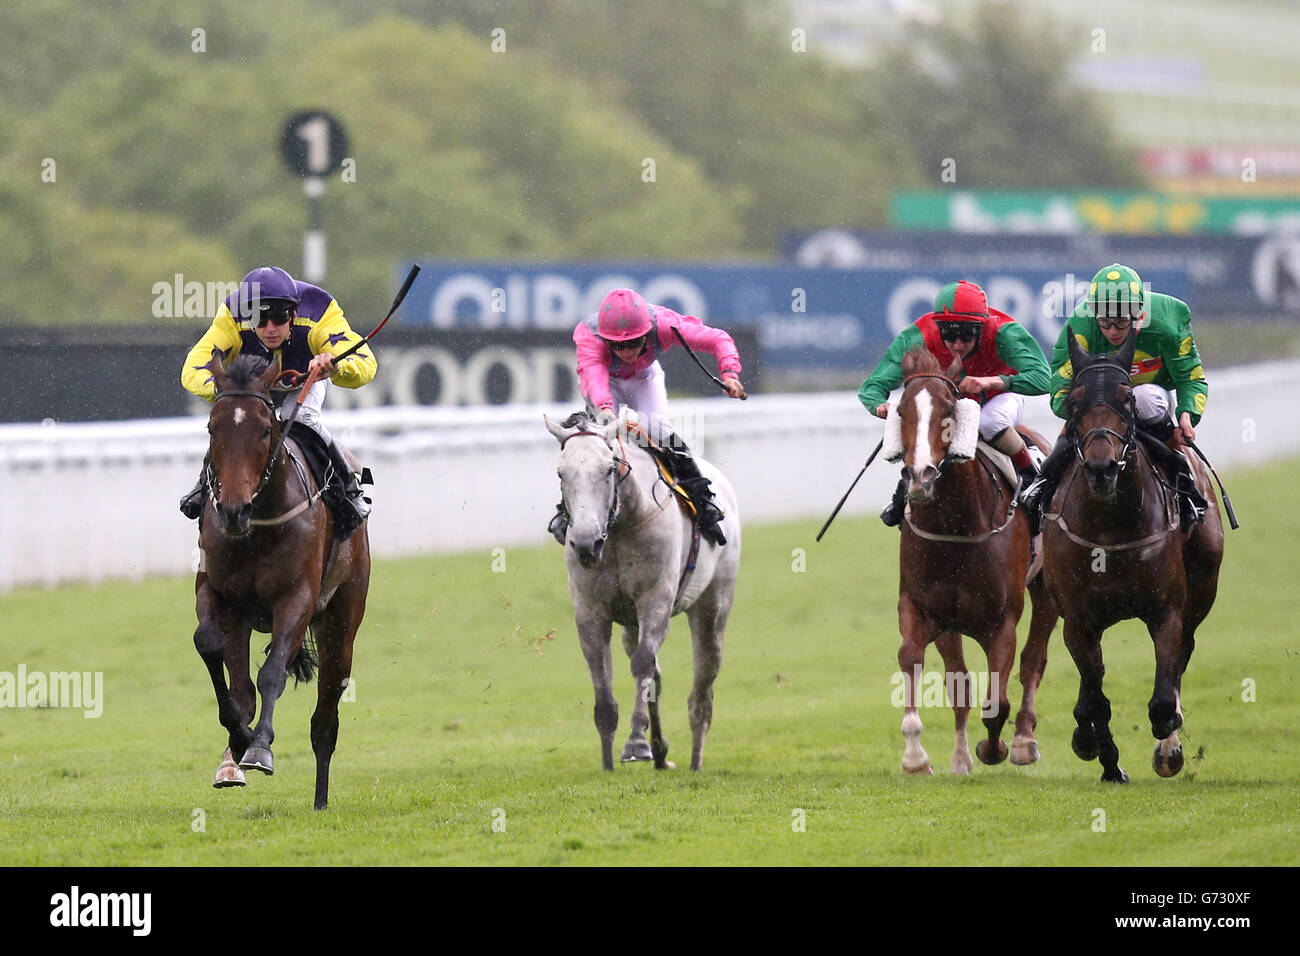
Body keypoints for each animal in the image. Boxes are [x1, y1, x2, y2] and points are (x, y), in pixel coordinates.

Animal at [189, 351, 371, 806]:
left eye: (265, 429)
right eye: (212, 427)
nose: (233, 509)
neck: (259, 525)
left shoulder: (297, 598)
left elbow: (273, 673)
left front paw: (259, 748)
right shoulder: (214, 591)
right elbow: (209, 644)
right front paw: (239, 739)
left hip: (341, 619)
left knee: (325, 719)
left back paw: (320, 800)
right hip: (244, 620)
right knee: (243, 687)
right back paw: (231, 759)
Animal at [540, 411, 743, 770]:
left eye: (608, 468)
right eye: (561, 473)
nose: (586, 543)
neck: (620, 528)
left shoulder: (656, 599)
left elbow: (643, 665)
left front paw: (636, 741)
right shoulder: (590, 611)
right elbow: (603, 680)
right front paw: (608, 761)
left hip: (713, 604)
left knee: (703, 684)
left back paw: (694, 759)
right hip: (630, 624)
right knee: (656, 676)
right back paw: (661, 752)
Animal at [883, 351, 1055, 780]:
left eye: (949, 409)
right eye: (901, 410)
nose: (921, 475)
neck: (956, 525)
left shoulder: (1002, 620)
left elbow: (997, 703)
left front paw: (994, 748)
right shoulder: (924, 608)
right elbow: (918, 663)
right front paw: (917, 757)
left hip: (1048, 587)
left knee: (1034, 659)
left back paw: (1024, 741)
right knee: (959, 680)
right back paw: (961, 758)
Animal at [1040, 332, 1222, 780]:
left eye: (1126, 399)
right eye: (1074, 401)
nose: (1102, 468)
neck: (1110, 527)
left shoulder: (1166, 610)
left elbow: (1163, 695)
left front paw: (1167, 743)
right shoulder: (1078, 620)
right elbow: (1094, 698)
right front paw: (1102, 756)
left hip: (1203, 584)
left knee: (1184, 654)